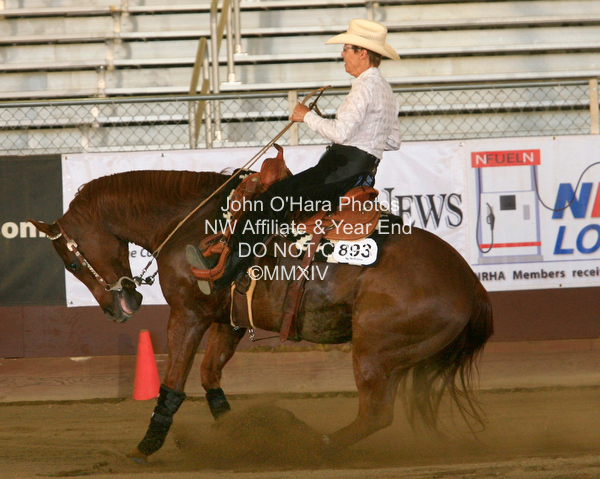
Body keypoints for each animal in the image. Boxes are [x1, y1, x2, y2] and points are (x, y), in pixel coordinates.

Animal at [30, 168, 493, 462]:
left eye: (71, 262)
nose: (118, 308)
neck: (193, 224)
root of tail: (471, 285)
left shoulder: (188, 315)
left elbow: (173, 385)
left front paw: (145, 447)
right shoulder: (230, 320)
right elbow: (209, 377)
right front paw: (240, 436)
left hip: (373, 351)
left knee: (375, 413)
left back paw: (314, 446)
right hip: (394, 358)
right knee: (378, 413)